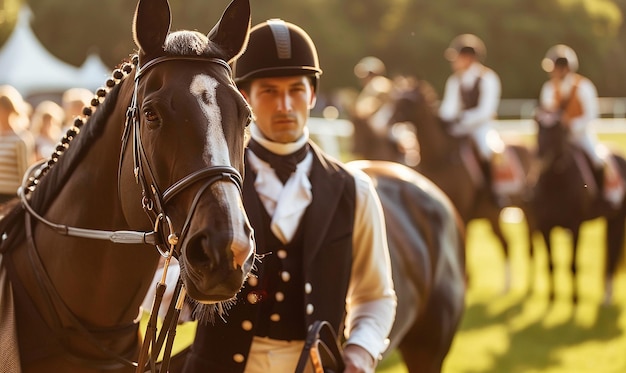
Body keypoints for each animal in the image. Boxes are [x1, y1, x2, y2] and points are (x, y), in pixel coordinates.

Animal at [360, 77, 532, 290]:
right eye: (392, 98)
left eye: (406, 102)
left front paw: (467, 279)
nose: (380, 122)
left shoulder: (462, 210)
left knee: (514, 243)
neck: (439, 159)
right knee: (506, 242)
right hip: (493, 215)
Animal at [528, 117, 624, 304]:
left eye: (557, 132)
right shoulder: (544, 226)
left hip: (618, 220)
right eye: (537, 130)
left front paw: (575, 298)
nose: (541, 158)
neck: (555, 184)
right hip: (612, 219)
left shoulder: (575, 225)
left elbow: (572, 264)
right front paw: (552, 297)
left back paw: (607, 297)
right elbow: (551, 263)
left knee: (613, 253)